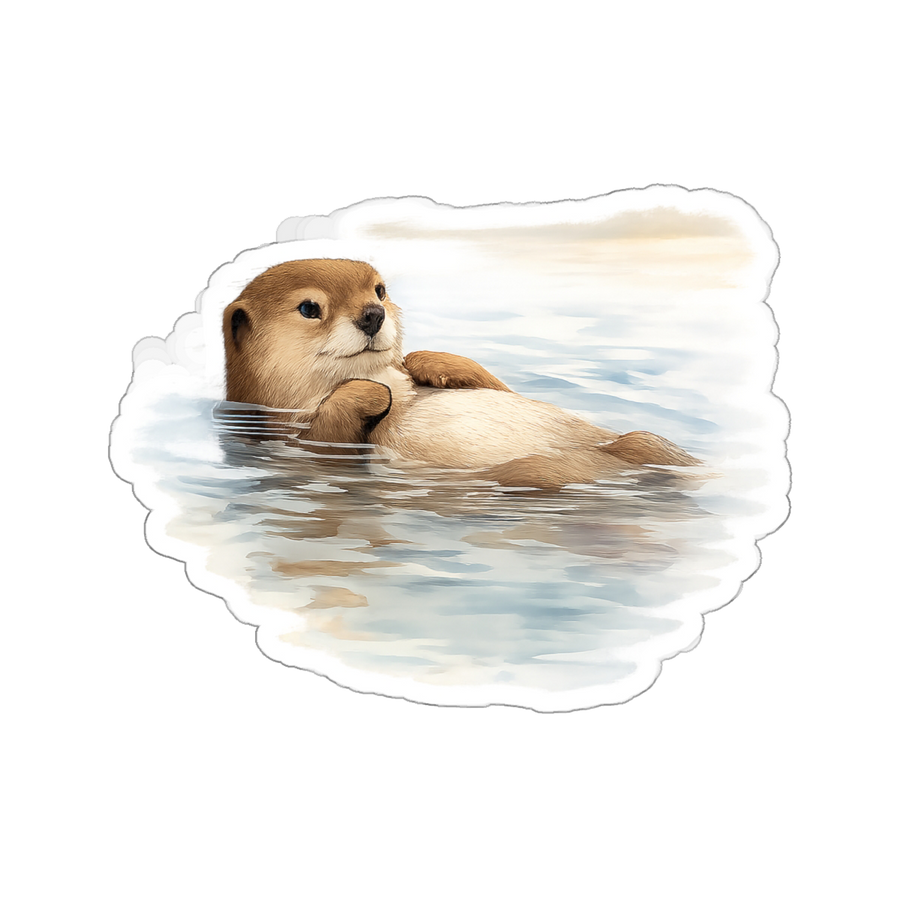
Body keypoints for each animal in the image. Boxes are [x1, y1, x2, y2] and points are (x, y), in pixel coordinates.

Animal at [222, 258, 701, 489]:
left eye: (380, 289)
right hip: (535, 472)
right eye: (309, 308)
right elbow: (327, 438)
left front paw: (427, 363)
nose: (374, 313)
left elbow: (496, 383)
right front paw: (369, 393)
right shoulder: (287, 432)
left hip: (638, 442)